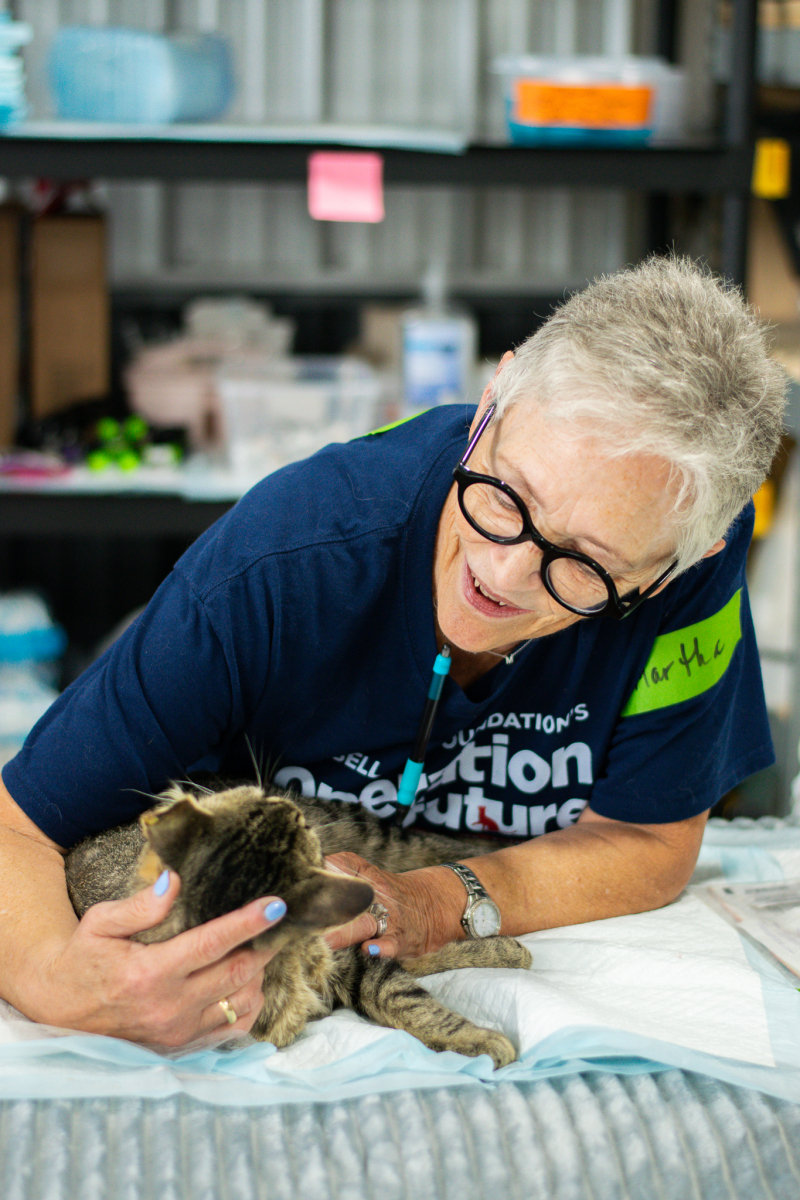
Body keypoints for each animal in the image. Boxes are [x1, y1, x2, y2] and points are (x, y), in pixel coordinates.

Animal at [65, 780, 532, 1067]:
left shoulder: (349, 956)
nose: (284, 808)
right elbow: (401, 982)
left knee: (438, 845)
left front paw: (475, 1038)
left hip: (370, 835)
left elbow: (401, 996)